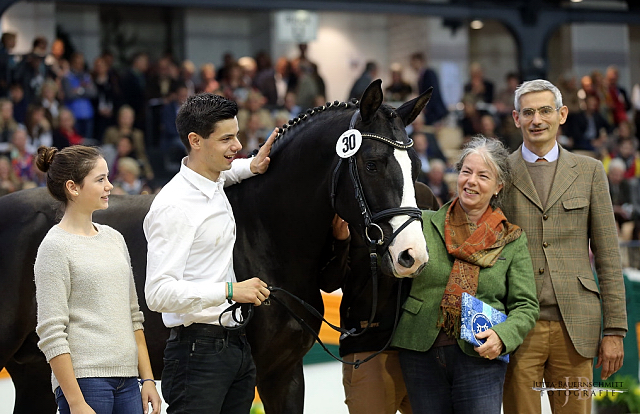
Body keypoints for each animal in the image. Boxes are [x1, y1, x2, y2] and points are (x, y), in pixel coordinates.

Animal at [0, 79, 432, 412]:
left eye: (416, 168)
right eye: (373, 164)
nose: (412, 254)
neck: (263, 232)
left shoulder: (285, 373)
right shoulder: (257, 374)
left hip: (36, 369)